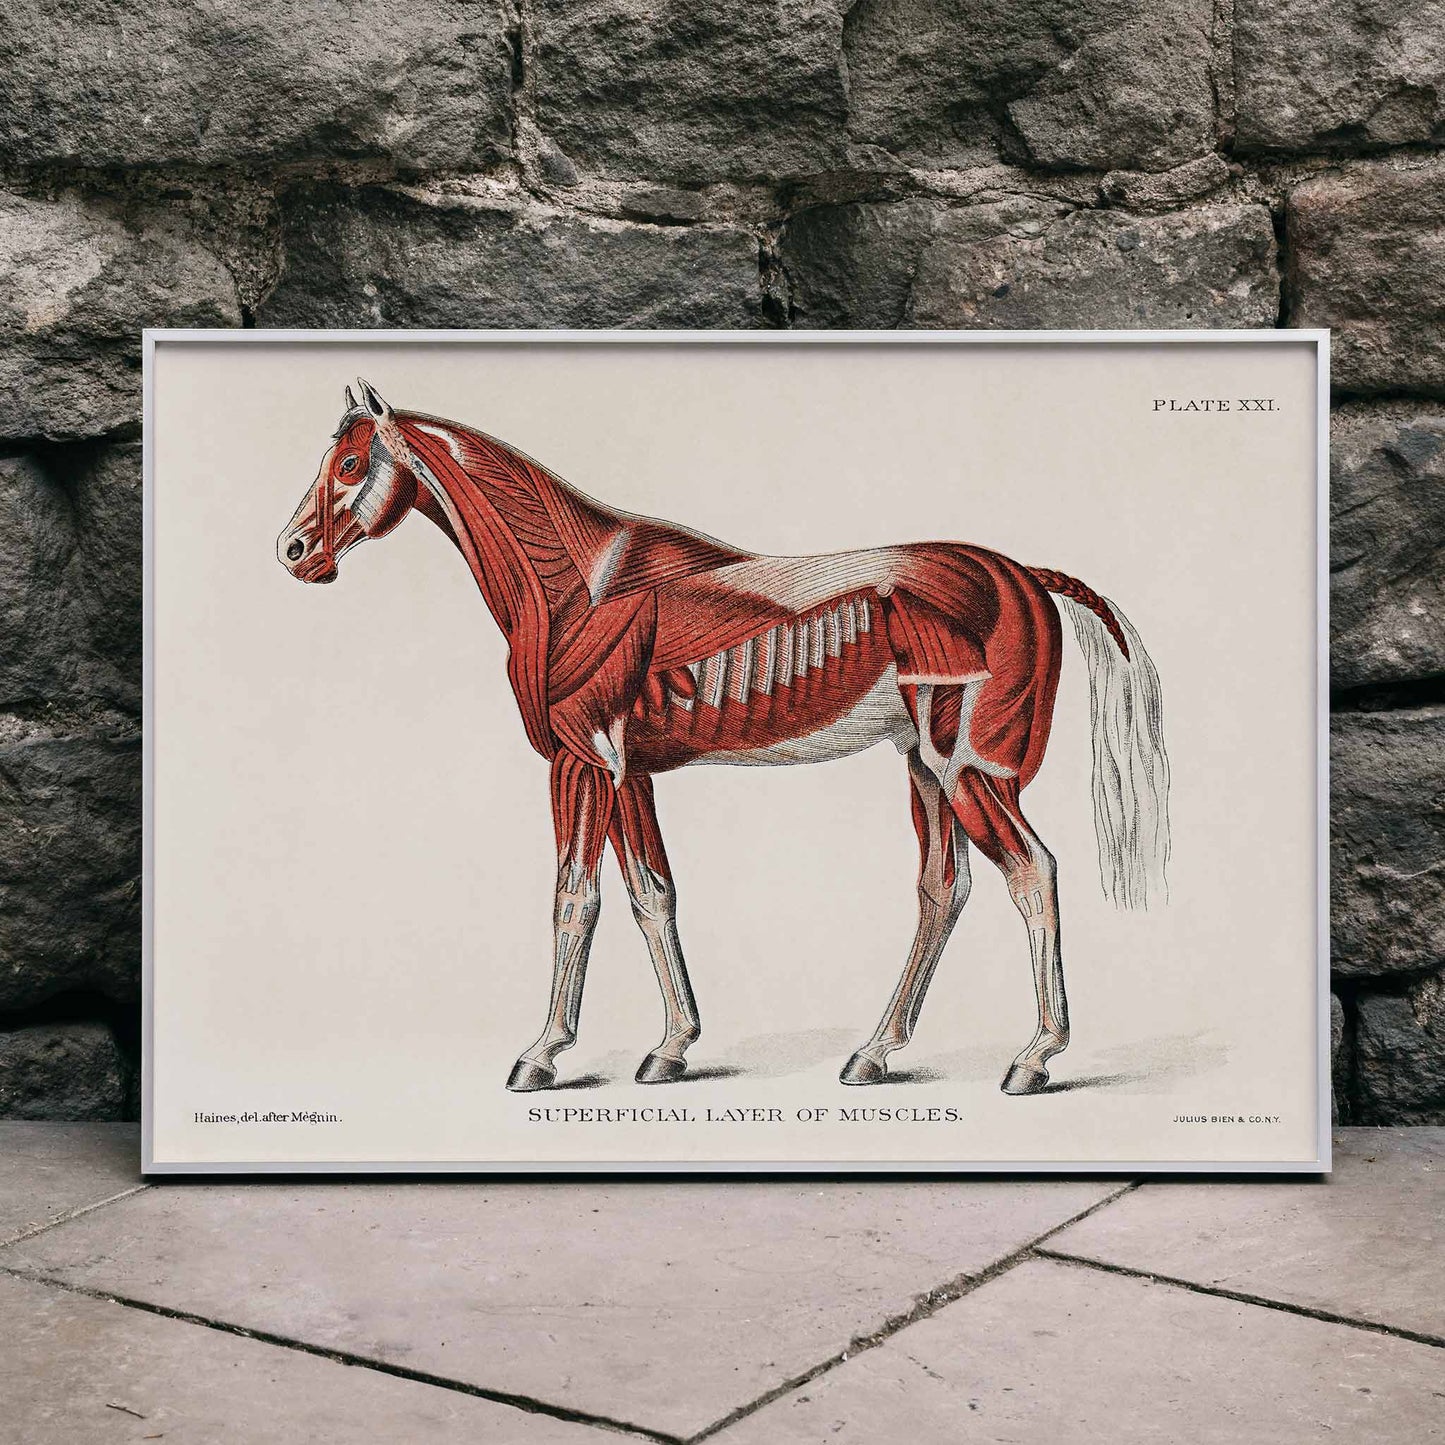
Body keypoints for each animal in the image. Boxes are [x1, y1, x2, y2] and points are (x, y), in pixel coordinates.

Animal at [277, 380, 1169, 1096]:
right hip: (924, 768)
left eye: (350, 463)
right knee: (943, 890)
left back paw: (1033, 1057)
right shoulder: (628, 774)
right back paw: (873, 1052)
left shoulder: (579, 763)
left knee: (1032, 872)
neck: (577, 583)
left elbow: (574, 897)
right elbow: (651, 894)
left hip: (972, 771)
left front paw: (541, 1054)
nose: (293, 550)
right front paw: (670, 1047)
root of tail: (1025, 576)